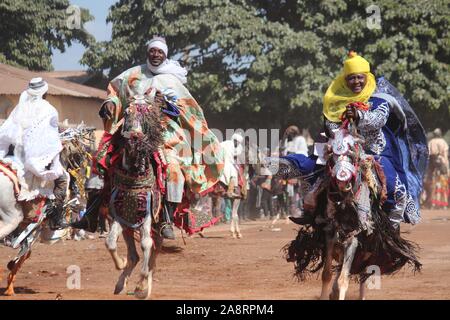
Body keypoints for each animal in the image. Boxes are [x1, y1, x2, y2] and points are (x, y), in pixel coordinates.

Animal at [105, 93, 165, 300]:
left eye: (147, 115)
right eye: (126, 113)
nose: (134, 138)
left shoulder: (147, 216)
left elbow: (147, 245)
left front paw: (141, 286)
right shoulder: (119, 216)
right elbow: (110, 243)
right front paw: (120, 264)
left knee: (154, 248)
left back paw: (144, 286)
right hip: (129, 228)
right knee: (135, 255)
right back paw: (120, 283)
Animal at [282, 123, 422, 300]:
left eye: (351, 155)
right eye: (331, 156)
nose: (342, 179)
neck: (344, 206)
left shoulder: (353, 240)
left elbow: (343, 279)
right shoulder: (330, 237)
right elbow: (327, 274)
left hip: (368, 252)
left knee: (362, 275)